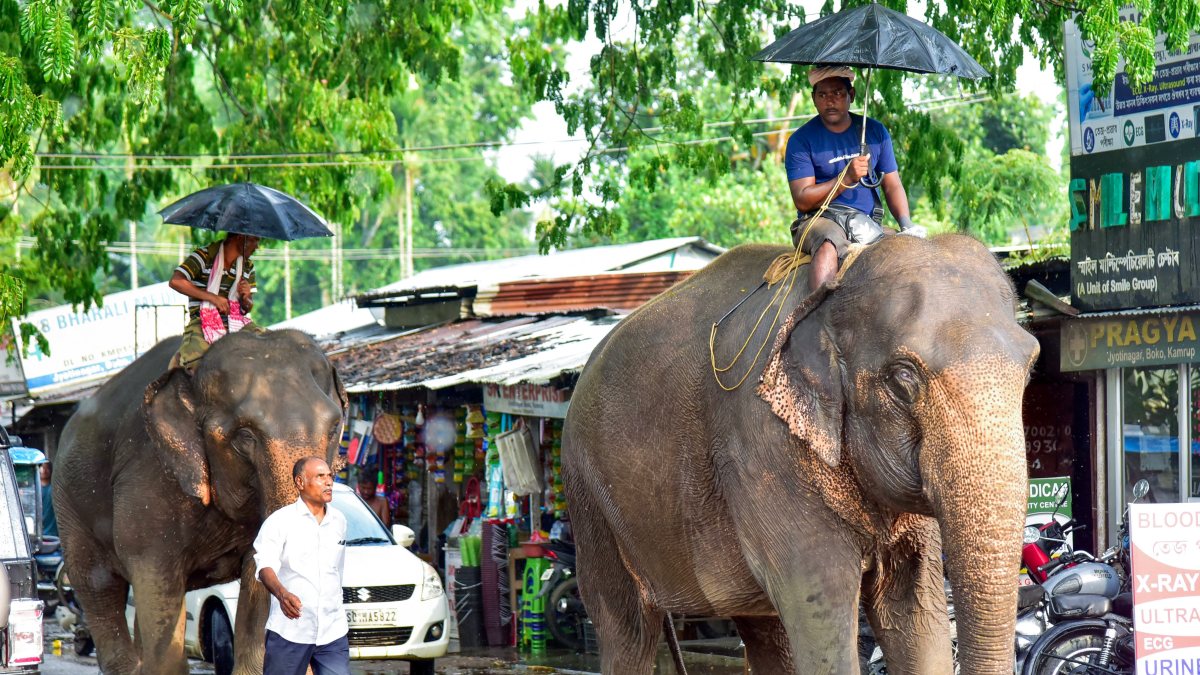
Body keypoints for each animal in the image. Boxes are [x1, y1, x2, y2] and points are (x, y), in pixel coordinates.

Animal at [52, 329, 347, 675]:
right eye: (245, 436)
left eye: (333, 428)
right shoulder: (146, 481)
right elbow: (156, 580)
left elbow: (258, 576)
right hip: (68, 506)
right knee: (98, 588)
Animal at [562, 235, 1038, 675]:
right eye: (903, 377)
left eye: (1031, 365)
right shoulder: (761, 445)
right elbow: (822, 606)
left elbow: (915, 615)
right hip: (590, 501)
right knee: (627, 629)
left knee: (763, 628)